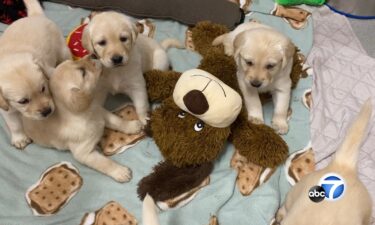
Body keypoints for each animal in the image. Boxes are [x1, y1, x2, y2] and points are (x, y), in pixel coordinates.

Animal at [0, 0, 70, 149]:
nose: (47, 111)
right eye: (23, 101)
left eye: (43, 88)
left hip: (62, 50)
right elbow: (14, 124)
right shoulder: (6, 108)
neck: (10, 56)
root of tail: (35, 16)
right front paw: (20, 138)